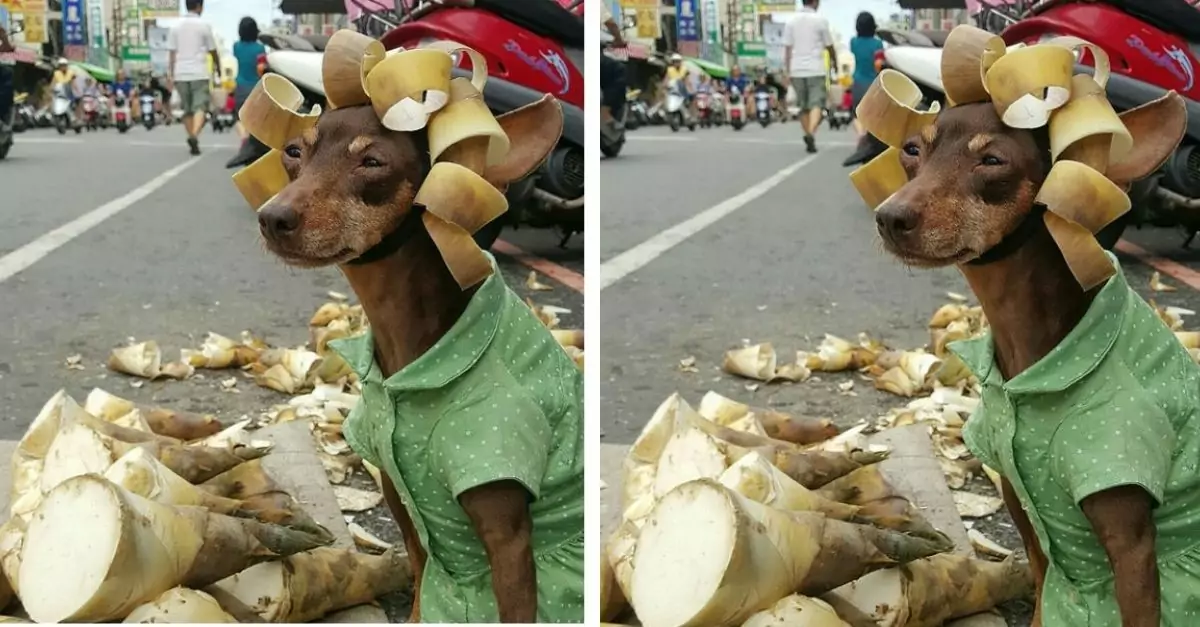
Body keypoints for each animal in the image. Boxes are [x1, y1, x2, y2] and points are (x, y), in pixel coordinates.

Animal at [254, 101, 571, 619]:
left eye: (373, 162)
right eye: (294, 152)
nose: (271, 217)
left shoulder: (507, 535)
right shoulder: (396, 492)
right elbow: (422, 568)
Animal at [873, 97, 1190, 624]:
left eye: (992, 161)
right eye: (913, 150)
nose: (888, 216)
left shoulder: (1131, 544)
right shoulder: (1019, 501)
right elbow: (1042, 579)